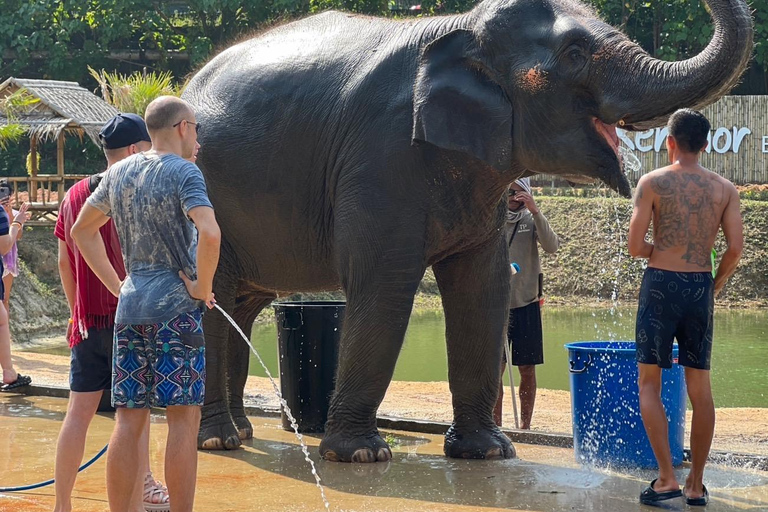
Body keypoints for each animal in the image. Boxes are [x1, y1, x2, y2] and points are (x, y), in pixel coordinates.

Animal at [183, 0, 752, 462]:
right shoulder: (381, 155)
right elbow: (384, 287)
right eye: (574, 52)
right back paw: (219, 441)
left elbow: (482, 287)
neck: (460, 28)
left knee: (239, 306)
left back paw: (242, 432)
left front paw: (489, 452)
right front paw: (361, 455)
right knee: (213, 295)